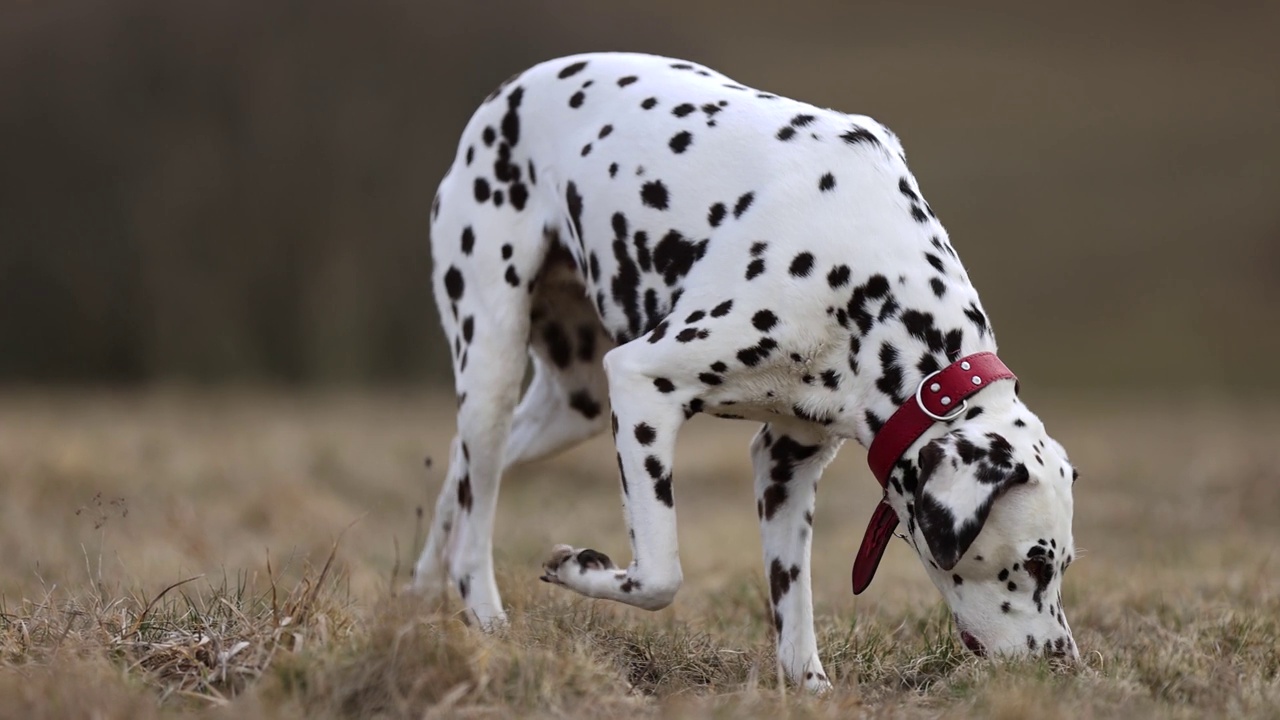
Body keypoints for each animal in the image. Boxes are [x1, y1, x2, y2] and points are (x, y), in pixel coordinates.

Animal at [412, 50, 1080, 691]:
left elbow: (794, 608)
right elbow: (659, 577)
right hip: (494, 366)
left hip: (570, 407)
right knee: (475, 515)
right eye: (1035, 562)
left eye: (1064, 563)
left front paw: (810, 686)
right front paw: (580, 567)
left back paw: (422, 591)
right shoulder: (641, 384)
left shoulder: (787, 459)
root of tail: (508, 91)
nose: (1066, 667)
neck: (867, 280)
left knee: (461, 479)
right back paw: (485, 617)